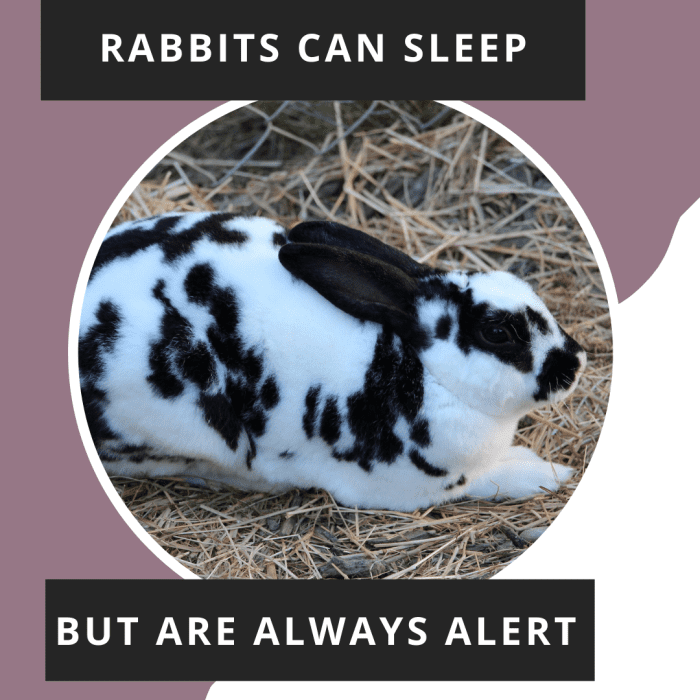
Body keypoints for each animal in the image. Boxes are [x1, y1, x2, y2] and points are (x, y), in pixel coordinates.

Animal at [78, 212, 587, 511]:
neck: (427, 373)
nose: (575, 362)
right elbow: (498, 479)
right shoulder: (413, 488)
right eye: (498, 333)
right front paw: (551, 474)